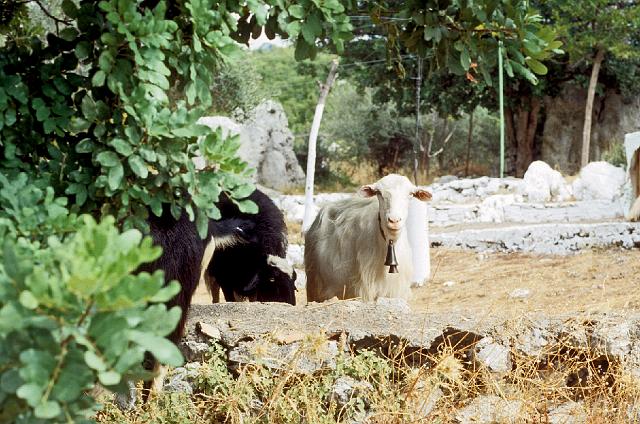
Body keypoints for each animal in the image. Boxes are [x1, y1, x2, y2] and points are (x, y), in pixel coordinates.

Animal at [304, 174, 430, 304]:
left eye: (411, 194)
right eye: (379, 193)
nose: (394, 221)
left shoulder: (396, 292)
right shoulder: (364, 292)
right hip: (317, 288)